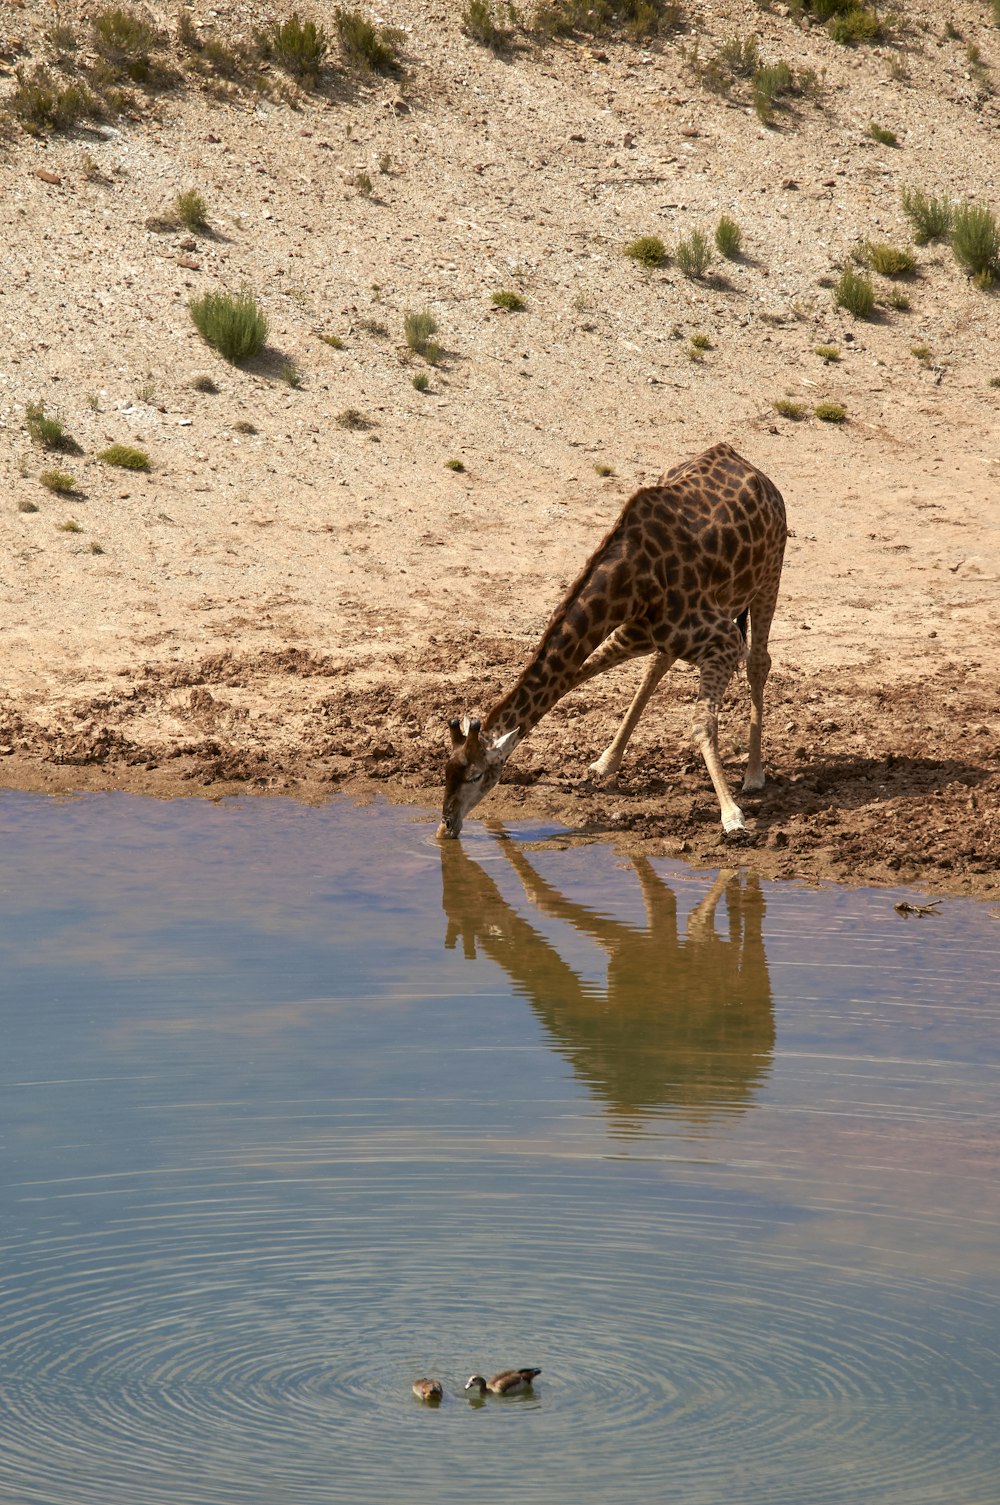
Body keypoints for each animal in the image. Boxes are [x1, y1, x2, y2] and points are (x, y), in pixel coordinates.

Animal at [436, 445, 789, 842]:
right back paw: (607, 762)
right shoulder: (639, 632)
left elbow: (702, 724)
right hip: (660, 634)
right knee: (656, 666)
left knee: (758, 661)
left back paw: (754, 775)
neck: (631, 582)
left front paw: (732, 816)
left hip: (770, 574)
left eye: (476, 775)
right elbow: (568, 679)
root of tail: (744, 462)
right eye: (446, 770)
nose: (446, 826)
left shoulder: (723, 640)